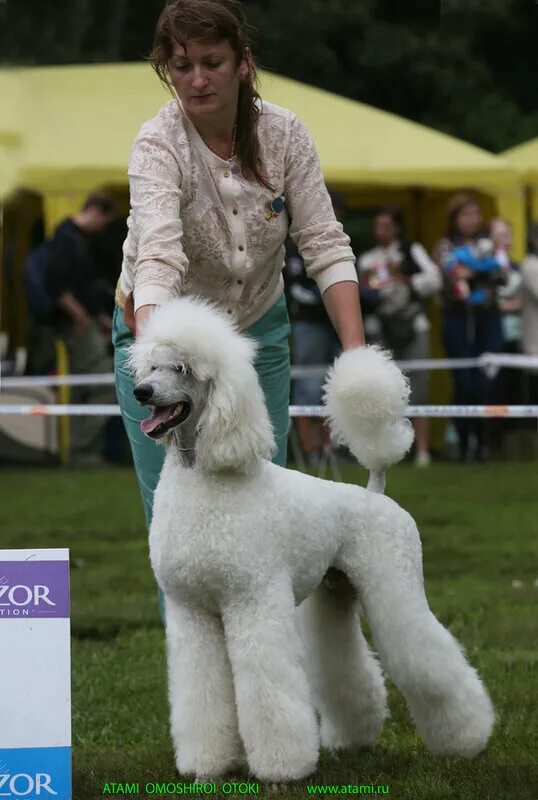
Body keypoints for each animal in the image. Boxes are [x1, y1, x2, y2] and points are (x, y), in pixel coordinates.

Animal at [130, 298, 490, 780]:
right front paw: (207, 764)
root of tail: (374, 492)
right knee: (345, 665)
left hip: (394, 583)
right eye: (151, 366)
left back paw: (467, 741)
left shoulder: (253, 600)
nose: (142, 392)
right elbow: (201, 692)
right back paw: (354, 739)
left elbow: (269, 687)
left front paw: (282, 768)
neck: (205, 477)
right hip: (334, 589)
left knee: (427, 657)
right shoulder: (192, 612)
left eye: (182, 368)